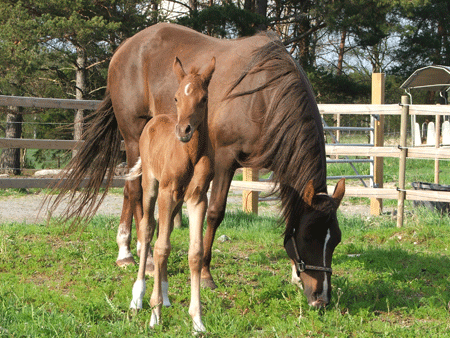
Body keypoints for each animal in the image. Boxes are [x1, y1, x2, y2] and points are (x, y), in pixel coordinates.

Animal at [48, 22, 344, 308]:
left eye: (336, 240)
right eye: (309, 236)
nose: (321, 299)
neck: (263, 97)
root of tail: (125, 48)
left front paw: (294, 273)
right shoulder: (225, 160)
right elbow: (215, 213)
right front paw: (205, 273)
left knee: (129, 191)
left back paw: (126, 248)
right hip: (133, 136)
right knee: (135, 191)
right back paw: (139, 256)